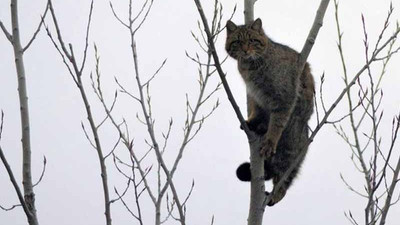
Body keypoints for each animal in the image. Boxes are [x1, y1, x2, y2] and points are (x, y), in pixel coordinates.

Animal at [225, 18, 316, 207]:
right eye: (237, 42)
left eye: (252, 40)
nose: (245, 50)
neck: (250, 68)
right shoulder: (256, 96)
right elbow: (257, 110)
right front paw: (253, 121)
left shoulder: (284, 98)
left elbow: (276, 124)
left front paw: (269, 141)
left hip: (288, 152)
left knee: (283, 179)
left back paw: (275, 195)